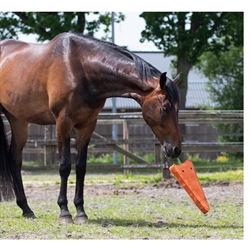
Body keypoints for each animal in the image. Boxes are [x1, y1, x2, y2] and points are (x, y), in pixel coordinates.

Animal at [0, 32, 181, 224]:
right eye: (165, 108)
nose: (176, 149)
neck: (81, 68)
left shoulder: (87, 125)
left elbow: (81, 167)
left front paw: (80, 212)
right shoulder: (63, 122)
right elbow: (65, 166)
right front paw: (64, 212)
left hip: (18, 120)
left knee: (15, 159)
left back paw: (26, 209)